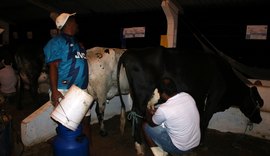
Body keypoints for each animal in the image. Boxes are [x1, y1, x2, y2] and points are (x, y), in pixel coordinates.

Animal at [116, 45, 264, 154]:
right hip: (143, 93)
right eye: (257, 102)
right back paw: (140, 147)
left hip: (135, 94)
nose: (260, 119)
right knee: (137, 116)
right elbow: (205, 120)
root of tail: (131, 52)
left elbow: (200, 116)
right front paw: (201, 143)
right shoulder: (214, 97)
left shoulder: (199, 96)